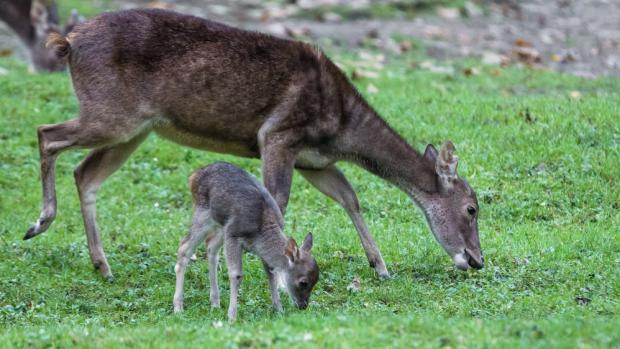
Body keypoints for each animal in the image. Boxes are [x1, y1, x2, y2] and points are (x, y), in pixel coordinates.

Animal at [27, 8, 484, 280]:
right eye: (471, 208)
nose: (477, 260)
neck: (341, 127)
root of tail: (68, 44)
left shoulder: (315, 161)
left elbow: (350, 197)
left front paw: (381, 266)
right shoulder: (278, 135)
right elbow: (276, 200)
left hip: (134, 128)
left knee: (85, 174)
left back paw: (102, 265)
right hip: (111, 113)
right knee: (47, 134)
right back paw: (40, 222)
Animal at [174, 161, 320, 320]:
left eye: (317, 280)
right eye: (303, 282)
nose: (303, 306)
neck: (260, 233)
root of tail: (193, 176)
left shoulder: (254, 246)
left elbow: (271, 273)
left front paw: (279, 310)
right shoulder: (233, 234)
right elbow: (236, 274)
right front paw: (232, 317)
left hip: (221, 224)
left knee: (210, 246)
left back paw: (215, 303)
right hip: (203, 214)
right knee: (184, 247)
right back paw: (178, 307)